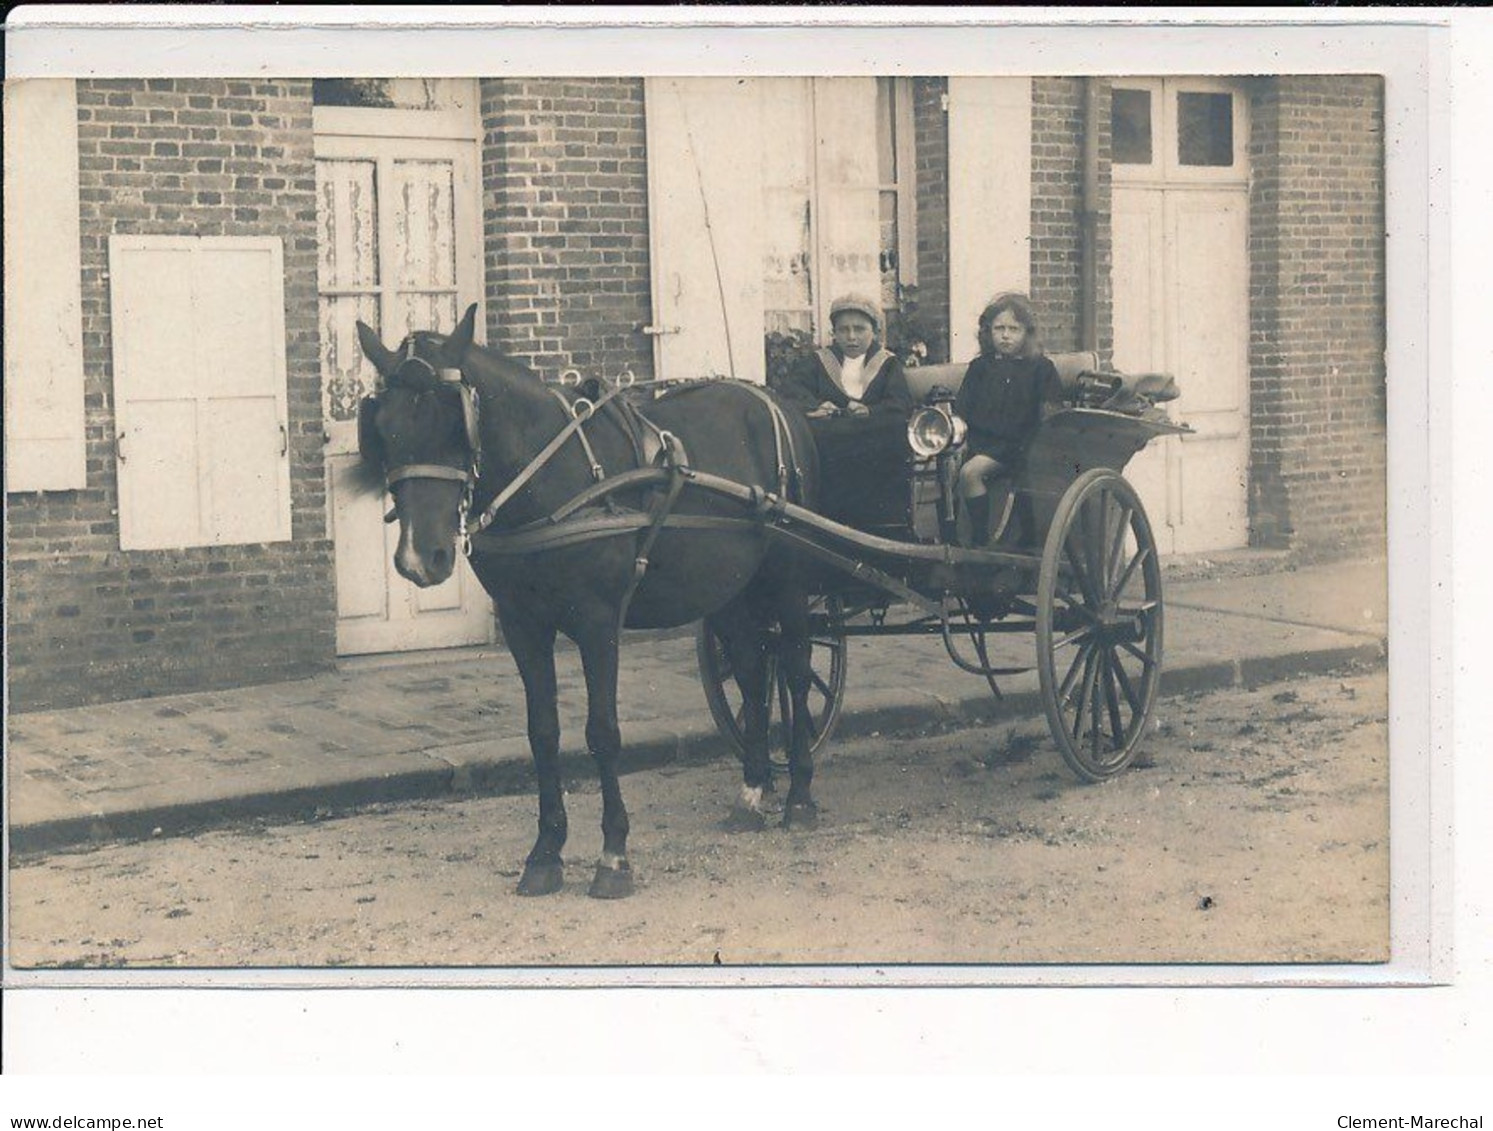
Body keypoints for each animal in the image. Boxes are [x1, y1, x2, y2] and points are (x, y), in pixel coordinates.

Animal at [355, 305, 824, 901]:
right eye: (382, 428)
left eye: (454, 423)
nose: (421, 557)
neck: (550, 483)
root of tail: (778, 402)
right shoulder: (523, 625)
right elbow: (543, 732)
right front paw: (545, 853)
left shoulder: (598, 621)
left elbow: (602, 731)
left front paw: (613, 855)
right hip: (729, 589)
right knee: (750, 669)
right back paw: (753, 790)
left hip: (787, 578)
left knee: (794, 669)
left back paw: (800, 794)